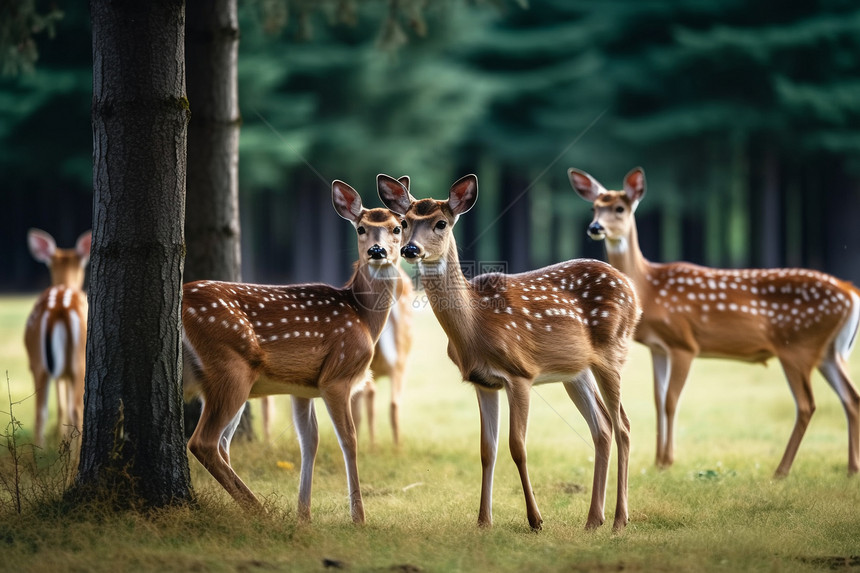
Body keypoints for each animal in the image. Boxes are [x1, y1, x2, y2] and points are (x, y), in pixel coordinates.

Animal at [23, 228, 92, 446]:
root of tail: (59, 308)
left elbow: (61, 404)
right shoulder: (66, 371)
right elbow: (65, 403)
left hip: (37, 360)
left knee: (40, 412)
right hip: (79, 361)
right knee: (76, 409)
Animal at [181, 179, 404, 524]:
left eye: (397, 228)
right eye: (361, 229)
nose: (376, 251)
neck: (363, 317)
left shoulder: (302, 387)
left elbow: (309, 441)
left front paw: (304, 515)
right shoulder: (336, 376)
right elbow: (349, 440)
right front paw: (358, 517)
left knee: (221, 443)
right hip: (229, 366)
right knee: (203, 442)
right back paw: (261, 511)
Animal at [380, 172, 640, 528]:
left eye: (441, 223)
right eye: (403, 222)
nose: (410, 248)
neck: (475, 326)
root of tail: (633, 290)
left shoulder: (520, 374)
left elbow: (517, 446)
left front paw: (535, 520)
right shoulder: (483, 382)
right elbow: (486, 450)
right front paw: (483, 521)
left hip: (613, 352)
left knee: (623, 425)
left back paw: (619, 520)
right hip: (576, 372)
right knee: (601, 427)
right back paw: (592, 520)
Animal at [572, 166, 860, 478]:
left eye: (620, 208)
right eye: (593, 207)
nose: (595, 228)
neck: (649, 289)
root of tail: (849, 292)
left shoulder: (684, 342)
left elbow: (671, 401)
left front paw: (668, 461)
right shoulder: (658, 347)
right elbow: (658, 400)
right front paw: (658, 460)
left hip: (797, 347)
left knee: (807, 404)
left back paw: (781, 470)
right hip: (829, 352)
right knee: (851, 398)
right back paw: (851, 468)